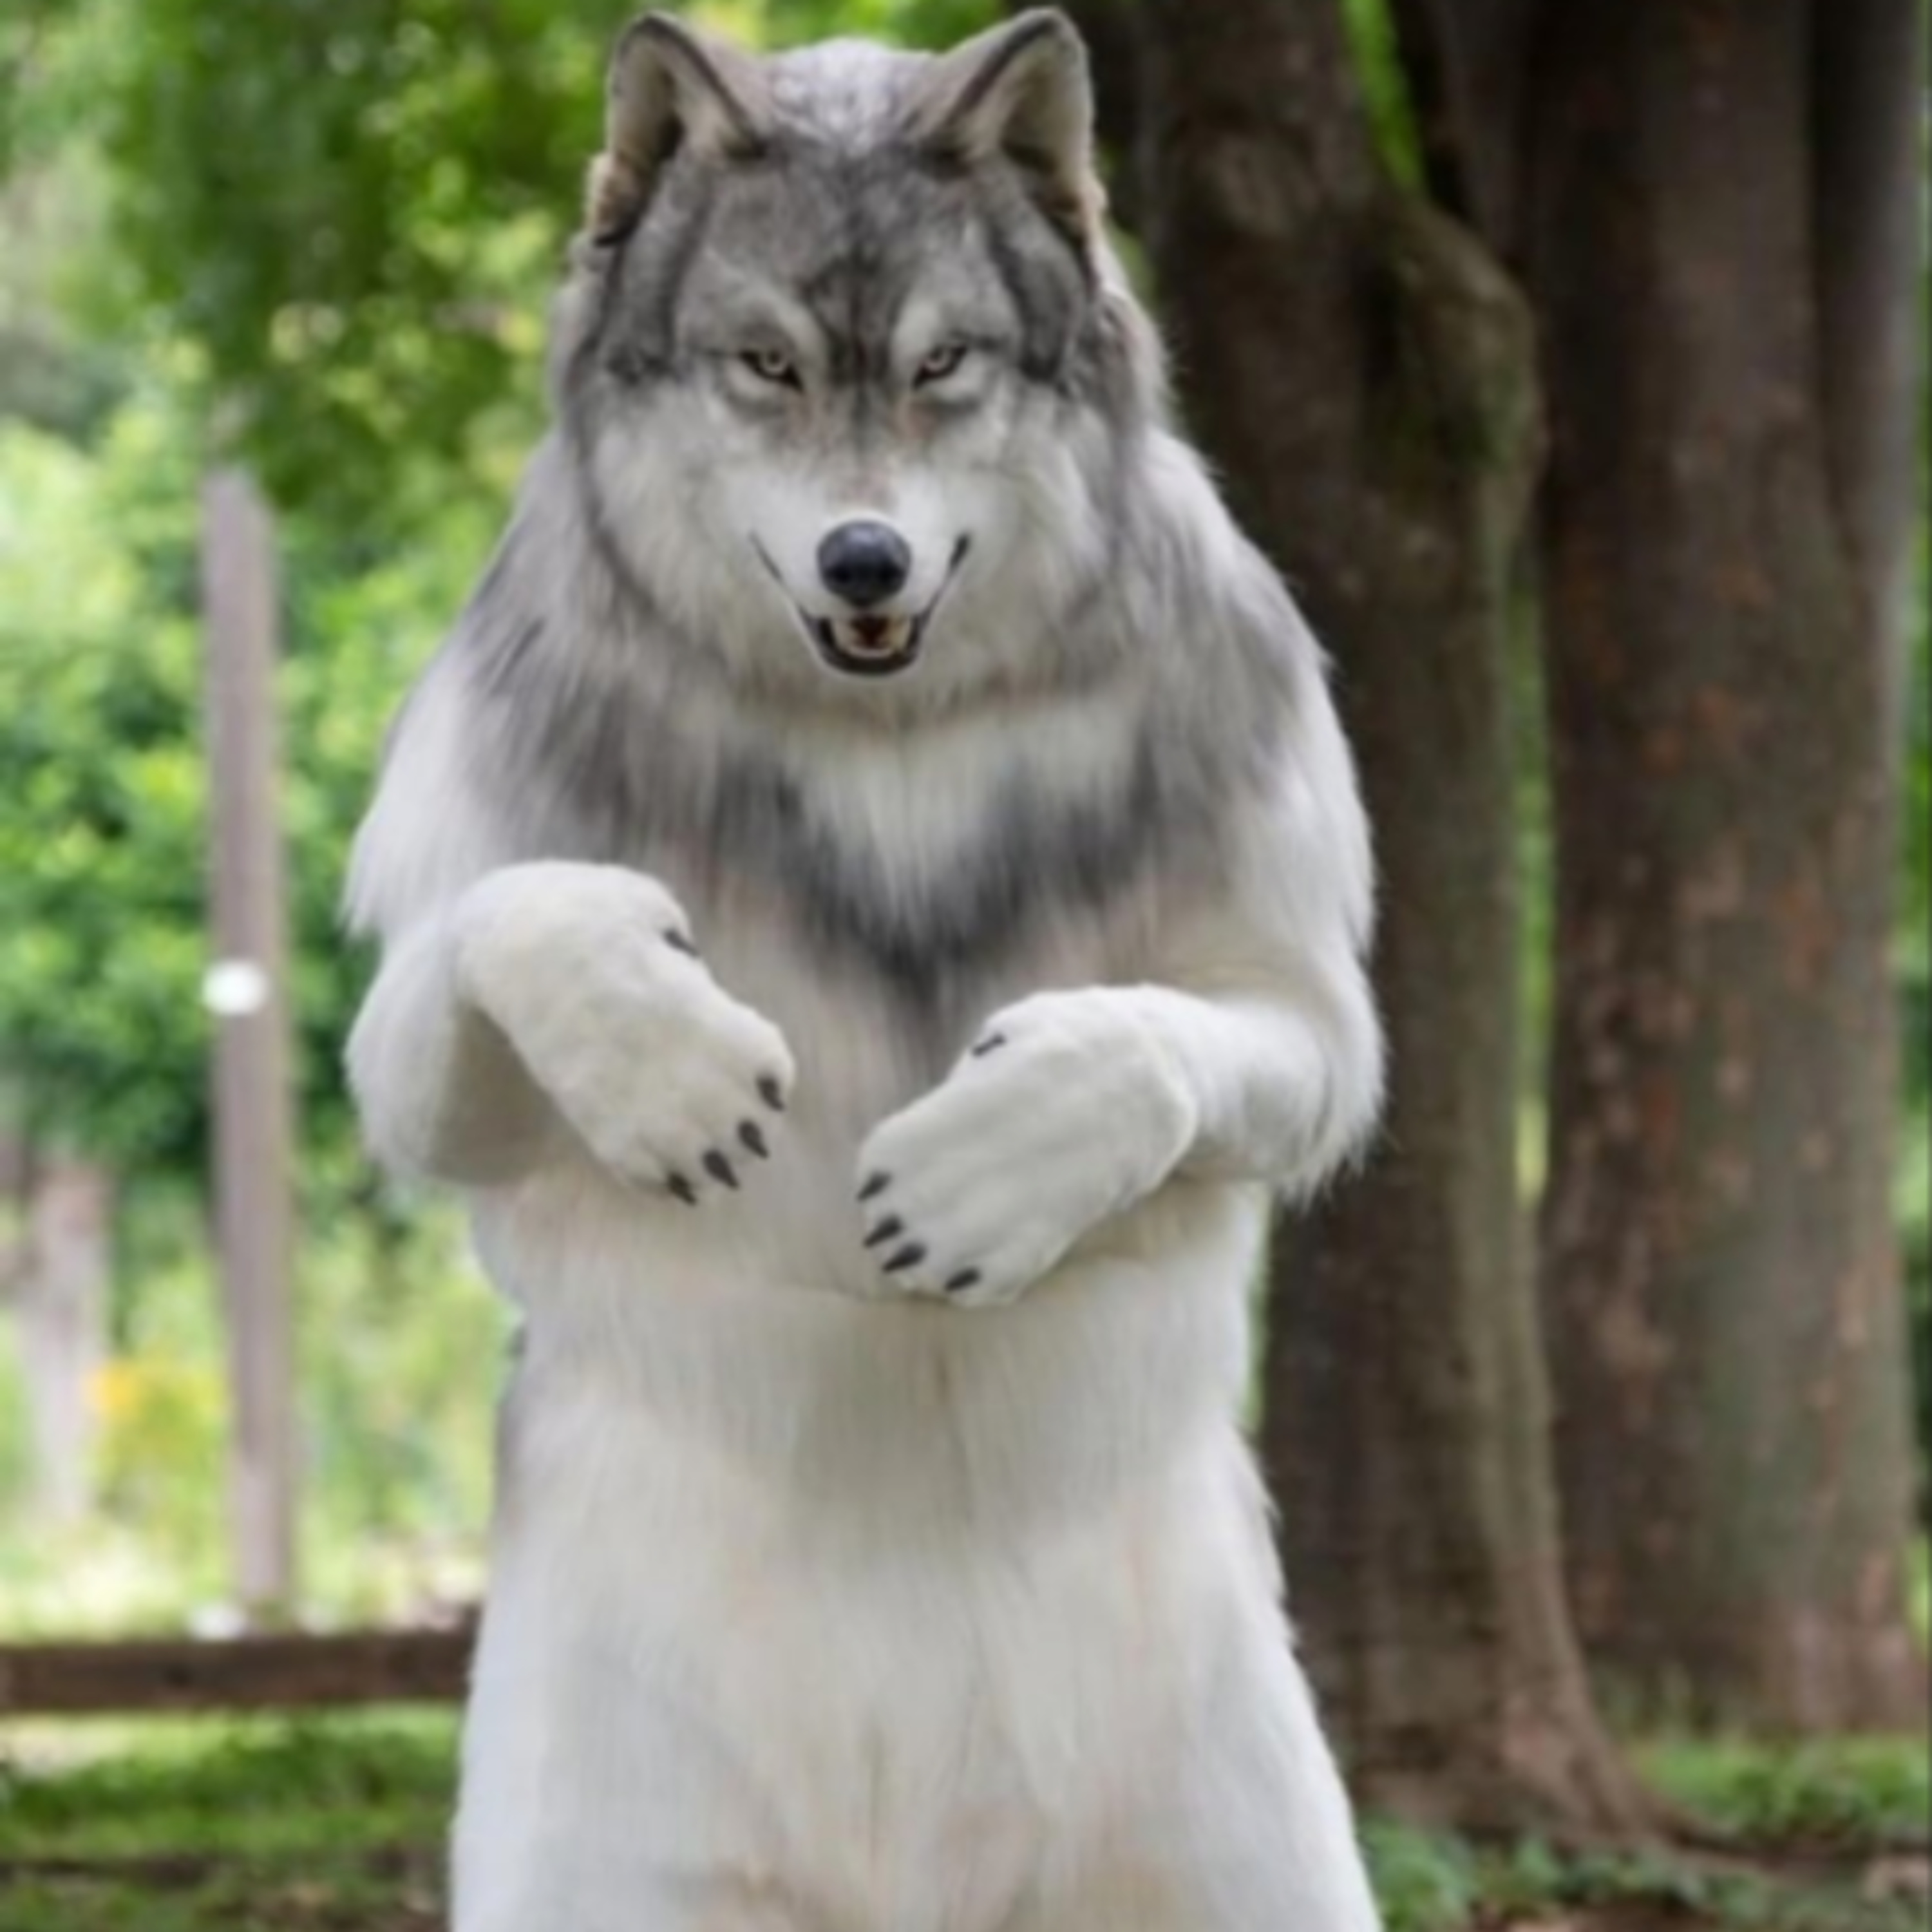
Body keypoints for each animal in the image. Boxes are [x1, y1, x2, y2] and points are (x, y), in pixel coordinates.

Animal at [345, 10, 1386, 1929]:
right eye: (764, 364)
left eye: (941, 365)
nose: (863, 558)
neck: (881, 747)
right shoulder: (428, 1014)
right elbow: (520, 917)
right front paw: (666, 1067)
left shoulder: (1294, 995)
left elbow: (1165, 1039)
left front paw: (994, 1165)